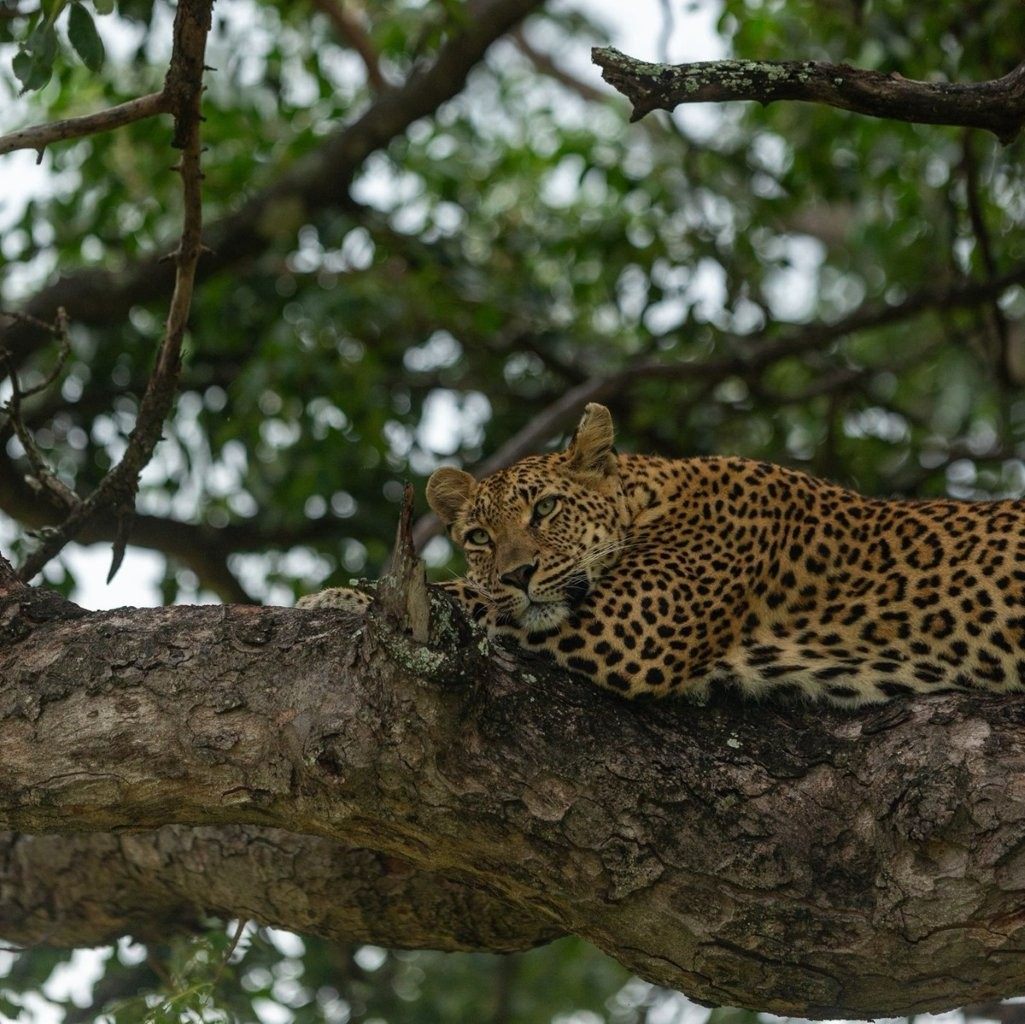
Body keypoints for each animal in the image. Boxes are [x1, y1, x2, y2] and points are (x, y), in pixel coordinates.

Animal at [300, 402, 1025, 705]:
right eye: (479, 537)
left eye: (546, 509)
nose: (519, 572)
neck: (651, 499)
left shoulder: (628, 624)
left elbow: (469, 597)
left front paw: (333, 595)